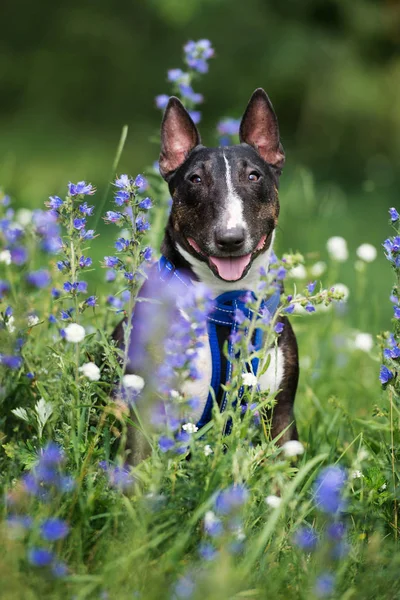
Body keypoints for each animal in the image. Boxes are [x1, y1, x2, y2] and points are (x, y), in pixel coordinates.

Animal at [112, 89, 296, 464]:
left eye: (254, 176)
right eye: (195, 179)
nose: (230, 238)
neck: (227, 300)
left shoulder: (282, 413)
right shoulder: (146, 408)